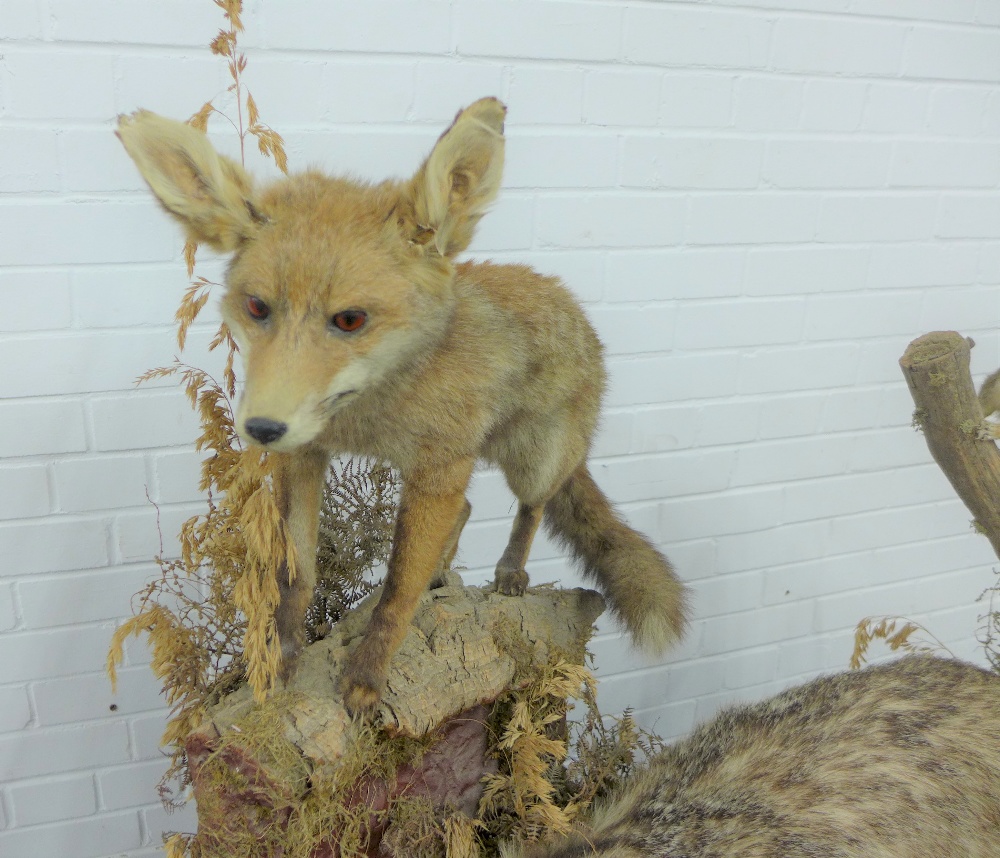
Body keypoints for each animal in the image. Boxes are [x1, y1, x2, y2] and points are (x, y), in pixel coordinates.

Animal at [113, 97, 684, 712]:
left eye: (349, 319)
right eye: (257, 307)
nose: (262, 428)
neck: (370, 415)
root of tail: (570, 303)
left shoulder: (438, 470)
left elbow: (395, 592)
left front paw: (366, 678)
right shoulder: (305, 457)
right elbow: (297, 577)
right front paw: (284, 658)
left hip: (534, 461)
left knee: (532, 506)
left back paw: (509, 571)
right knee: (467, 511)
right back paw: (446, 573)